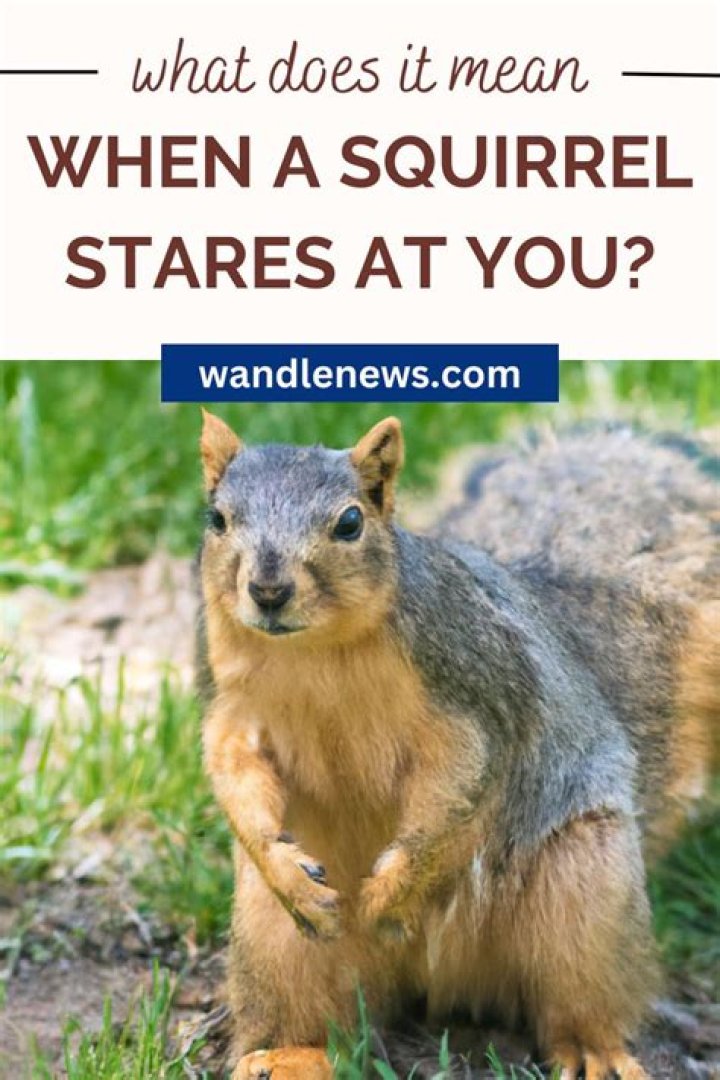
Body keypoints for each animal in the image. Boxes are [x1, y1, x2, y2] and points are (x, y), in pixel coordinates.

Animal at [197, 411, 718, 1080]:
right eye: (217, 518)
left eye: (349, 522)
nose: (267, 590)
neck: (314, 649)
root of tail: (434, 972)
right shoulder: (231, 701)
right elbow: (231, 764)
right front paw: (274, 854)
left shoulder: (472, 686)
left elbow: (465, 778)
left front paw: (395, 887)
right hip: (280, 937)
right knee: (312, 1002)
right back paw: (292, 1053)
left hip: (584, 890)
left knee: (581, 995)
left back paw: (595, 1053)